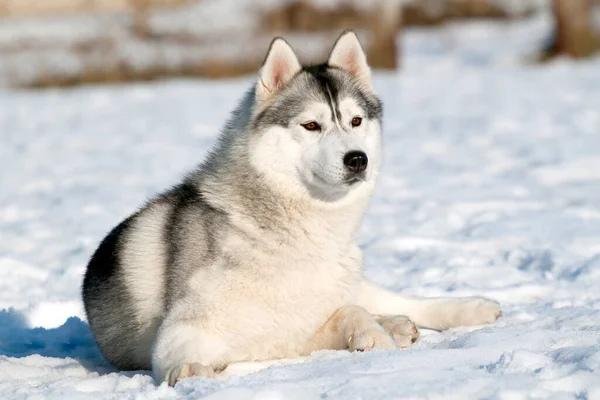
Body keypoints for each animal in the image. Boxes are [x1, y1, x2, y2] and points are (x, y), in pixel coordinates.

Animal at [82, 32, 500, 388]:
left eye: (356, 121)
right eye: (311, 125)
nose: (357, 159)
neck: (295, 232)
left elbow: (351, 311)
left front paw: (376, 334)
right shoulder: (194, 328)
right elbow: (182, 350)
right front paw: (189, 371)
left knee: (391, 300)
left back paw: (465, 309)